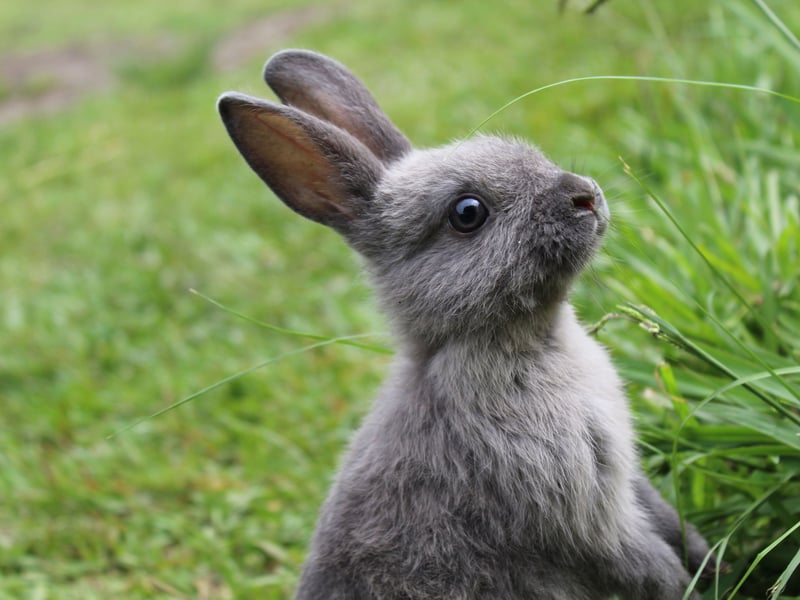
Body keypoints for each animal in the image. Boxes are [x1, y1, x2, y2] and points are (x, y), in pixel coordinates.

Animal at [217, 49, 712, 600]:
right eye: (468, 213)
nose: (586, 196)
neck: (523, 339)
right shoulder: (584, 515)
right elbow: (641, 562)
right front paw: (690, 583)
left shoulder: (621, 482)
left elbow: (665, 518)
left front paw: (709, 558)